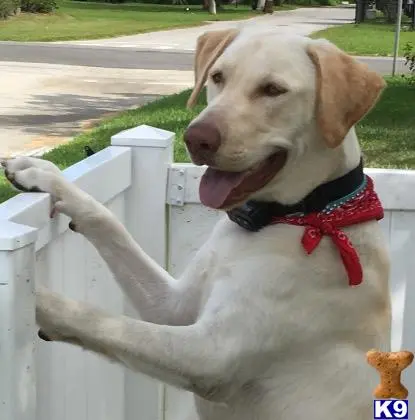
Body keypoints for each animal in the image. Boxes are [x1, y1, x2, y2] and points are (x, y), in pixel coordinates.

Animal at [2, 27, 394, 418]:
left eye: (273, 89)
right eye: (218, 77)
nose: (196, 138)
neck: (306, 213)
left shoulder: (211, 353)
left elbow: (107, 323)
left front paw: (38, 300)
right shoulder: (172, 307)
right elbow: (108, 223)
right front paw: (45, 175)